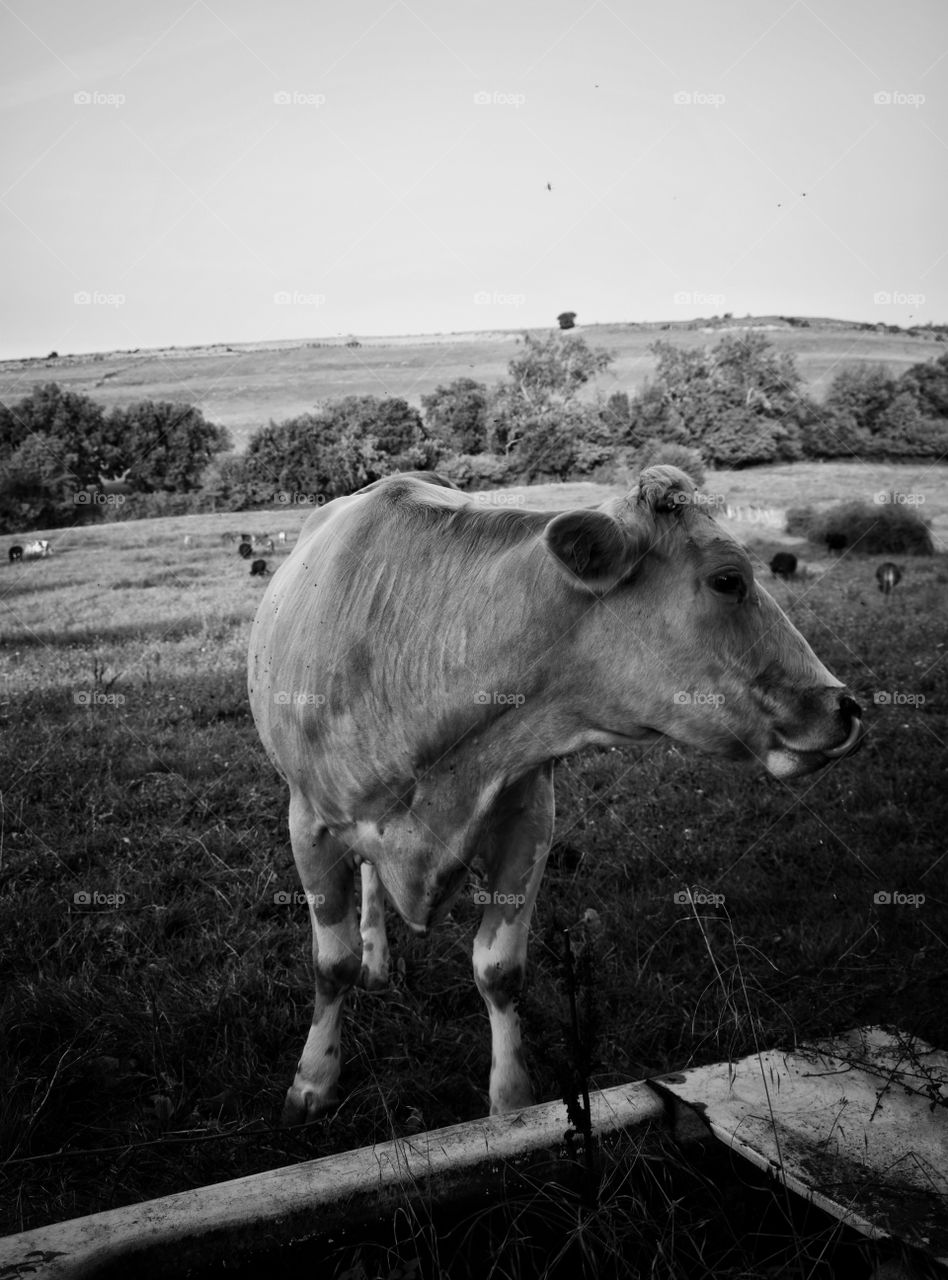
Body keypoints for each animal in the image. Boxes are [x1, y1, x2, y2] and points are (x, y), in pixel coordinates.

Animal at [248, 467, 865, 1124]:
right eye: (729, 580)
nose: (845, 706)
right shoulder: (308, 822)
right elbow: (330, 964)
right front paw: (313, 1081)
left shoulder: (528, 817)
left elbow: (498, 970)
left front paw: (511, 1103)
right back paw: (373, 958)